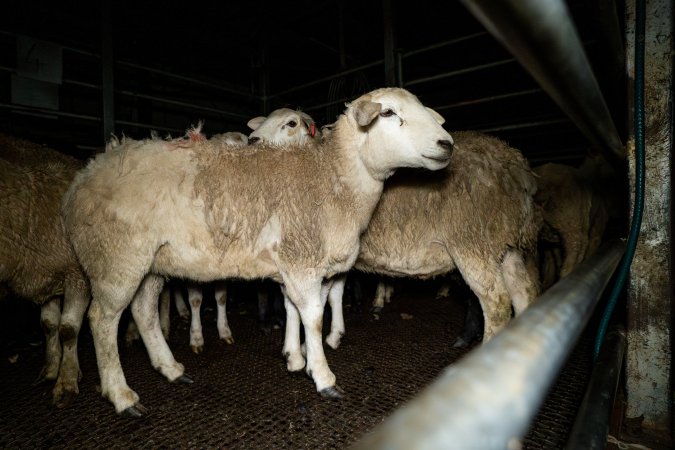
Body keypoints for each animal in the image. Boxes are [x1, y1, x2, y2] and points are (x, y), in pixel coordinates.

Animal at [0, 134, 90, 408]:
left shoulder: (77, 275)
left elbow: (68, 330)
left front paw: (66, 382)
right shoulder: (46, 279)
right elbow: (49, 325)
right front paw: (51, 370)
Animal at [62, 87, 454, 414]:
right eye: (387, 112)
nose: (447, 143)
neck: (334, 176)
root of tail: (84, 176)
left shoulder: (297, 262)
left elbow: (295, 308)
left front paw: (294, 358)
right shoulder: (302, 259)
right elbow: (313, 317)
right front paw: (323, 376)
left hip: (151, 261)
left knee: (143, 310)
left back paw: (171, 369)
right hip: (115, 256)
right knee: (102, 319)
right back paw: (121, 395)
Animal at [282, 130, 544, 370]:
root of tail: (514, 165)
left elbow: (299, 303)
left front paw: (298, 351)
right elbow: (325, 296)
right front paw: (323, 339)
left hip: (473, 242)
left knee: (497, 302)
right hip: (506, 246)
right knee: (524, 293)